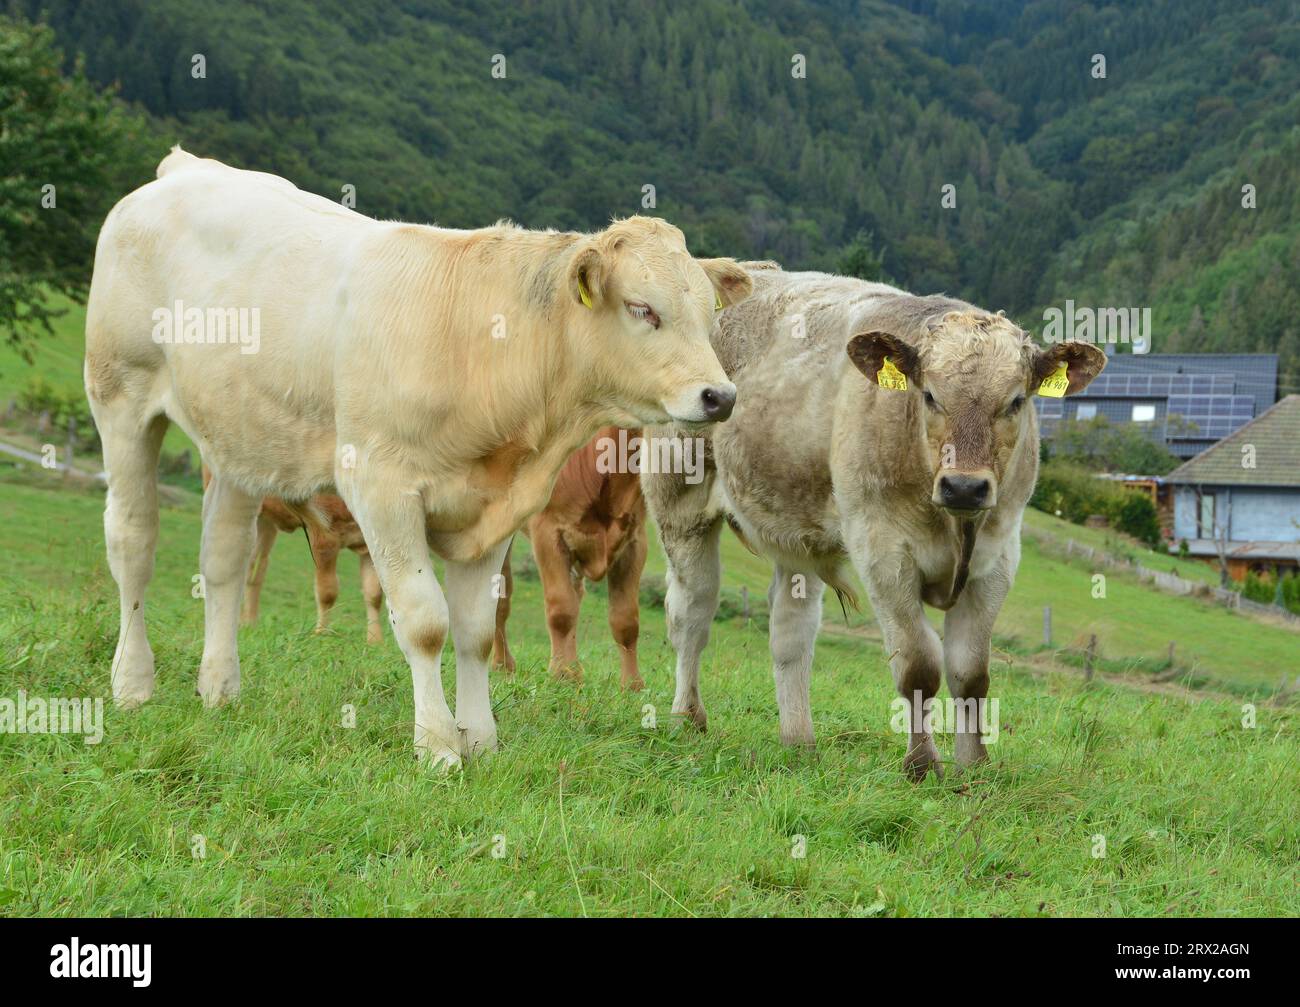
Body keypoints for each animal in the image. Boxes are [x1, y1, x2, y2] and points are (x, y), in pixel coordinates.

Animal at [491, 426, 647, 690]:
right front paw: (560, 674)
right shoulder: (548, 531)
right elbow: (562, 609)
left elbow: (626, 620)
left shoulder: (635, 541)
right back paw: (502, 665)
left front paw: (632, 685)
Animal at [642, 265, 1104, 779]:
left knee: (790, 632)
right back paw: (688, 718)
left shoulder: (998, 557)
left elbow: (970, 673)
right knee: (693, 612)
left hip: (794, 531)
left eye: (1017, 401)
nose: (964, 487)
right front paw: (922, 765)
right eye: (929, 395)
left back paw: (799, 741)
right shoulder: (882, 548)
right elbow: (919, 665)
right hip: (678, 500)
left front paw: (974, 767)